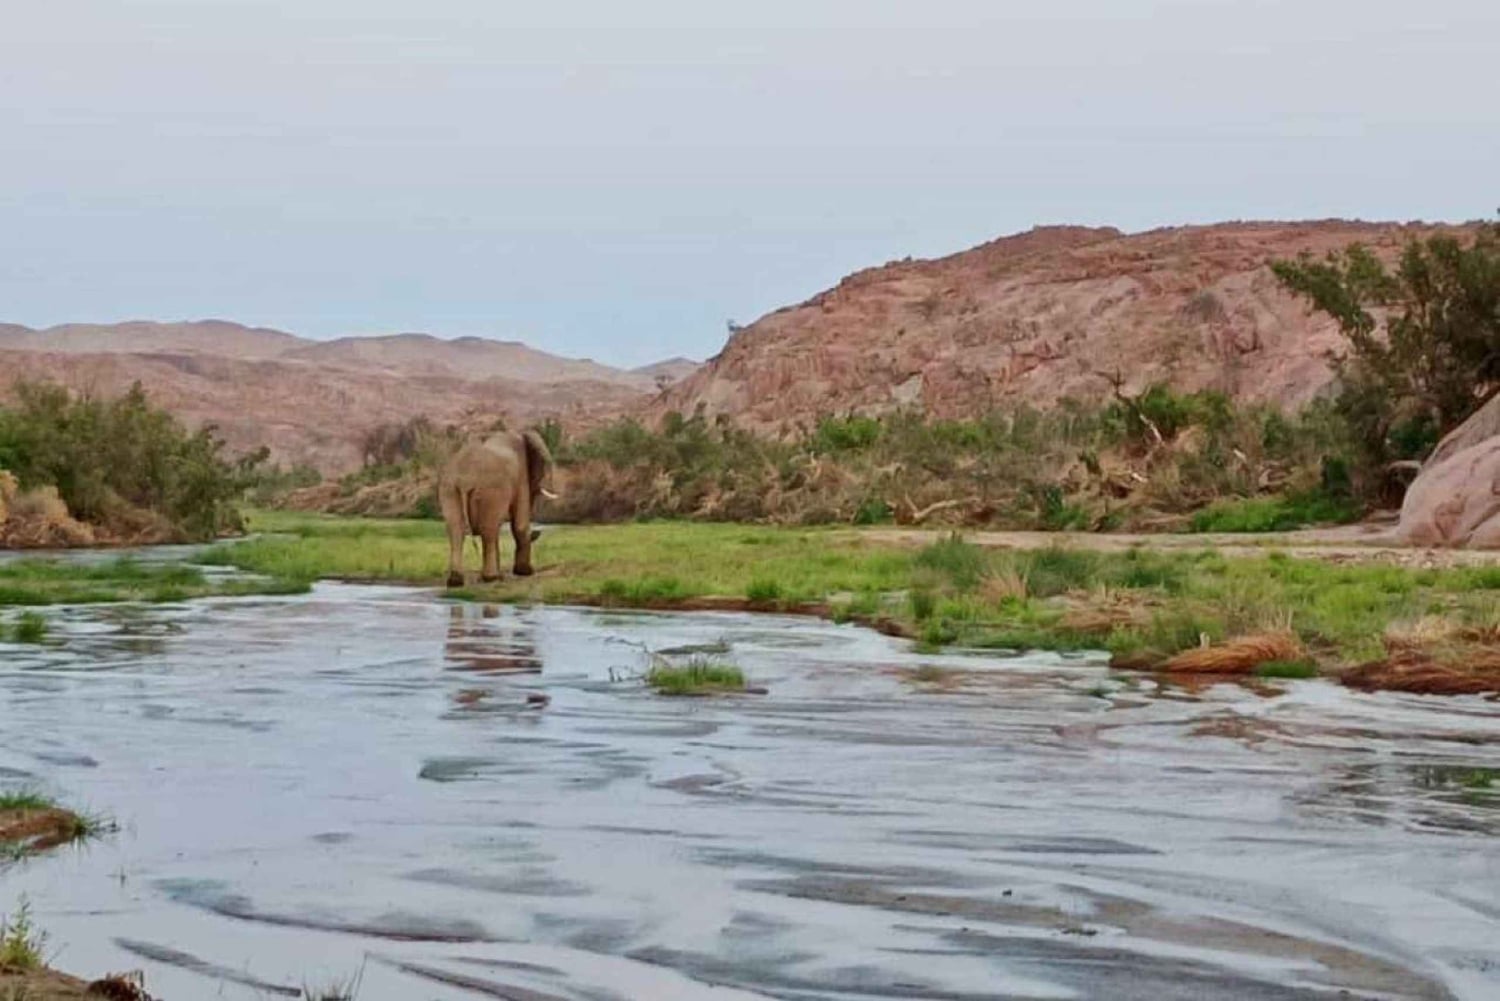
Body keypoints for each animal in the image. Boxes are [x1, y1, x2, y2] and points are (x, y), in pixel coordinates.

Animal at [437, 429, 557, 587]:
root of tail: (465, 479)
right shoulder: (521, 476)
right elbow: (520, 525)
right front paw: (525, 572)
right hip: (490, 490)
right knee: (488, 530)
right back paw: (491, 578)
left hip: (449, 490)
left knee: (456, 530)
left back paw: (456, 581)